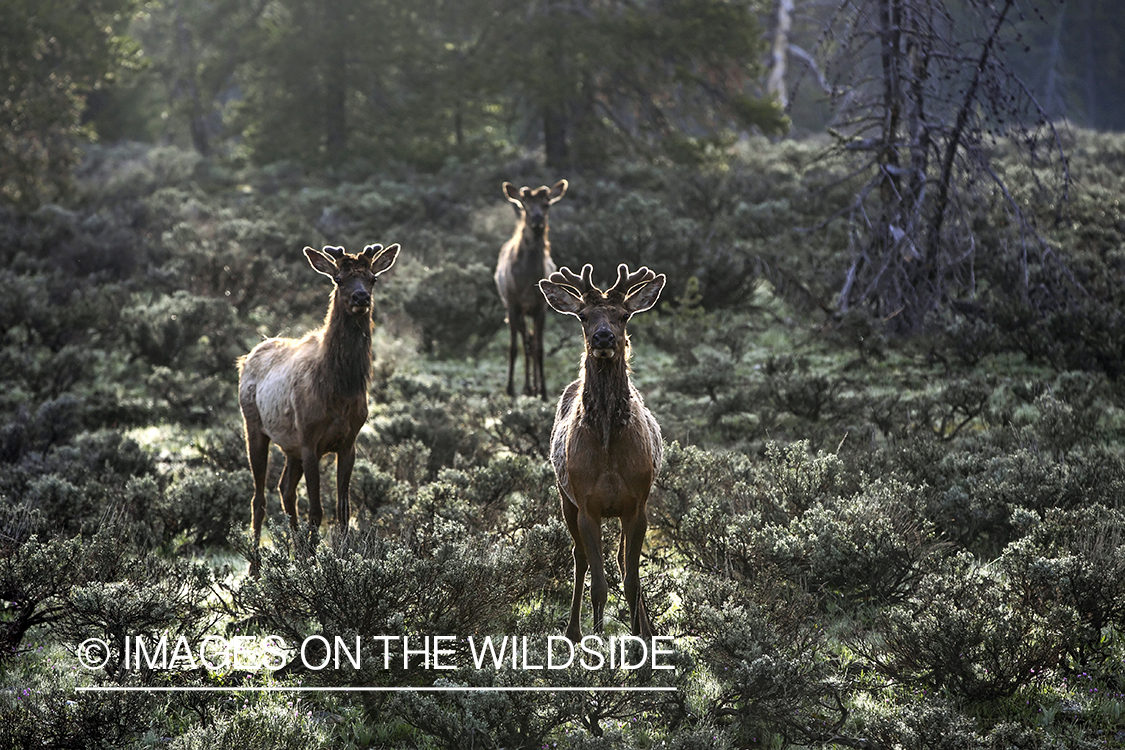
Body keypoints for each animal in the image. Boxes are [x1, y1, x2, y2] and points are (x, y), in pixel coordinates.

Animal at [238, 243, 399, 576]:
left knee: (285, 489)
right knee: (259, 497)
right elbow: (316, 509)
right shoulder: (310, 440)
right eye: (338, 279)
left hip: (291, 445)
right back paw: (255, 567)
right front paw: (315, 564)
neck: (338, 391)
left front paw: (340, 557)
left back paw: (297, 554)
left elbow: (343, 509)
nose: (360, 298)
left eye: (373, 278)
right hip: (255, 426)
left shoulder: (348, 442)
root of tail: (247, 357)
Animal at [495, 179, 568, 400]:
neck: (527, 282)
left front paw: (542, 391)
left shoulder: (541, 306)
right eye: (524, 206)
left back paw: (533, 388)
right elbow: (513, 348)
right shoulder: (512, 304)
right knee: (525, 342)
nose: (537, 221)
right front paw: (510, 389)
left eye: (546, 205)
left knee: (532, 342)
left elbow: (540, 349)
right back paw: (526, 387)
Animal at [538, 263, 666, 641]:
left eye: (624, 315)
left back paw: (647, 630)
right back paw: (573, 631)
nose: (604, 338)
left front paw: (642, 640)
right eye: (583, 316)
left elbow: (632, 581)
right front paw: (596, 642)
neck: (609, 451)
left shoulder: (637, 505)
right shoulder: (587, 505)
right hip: (565, 498)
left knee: (623, 562)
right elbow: (599, 586)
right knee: (579, 557)